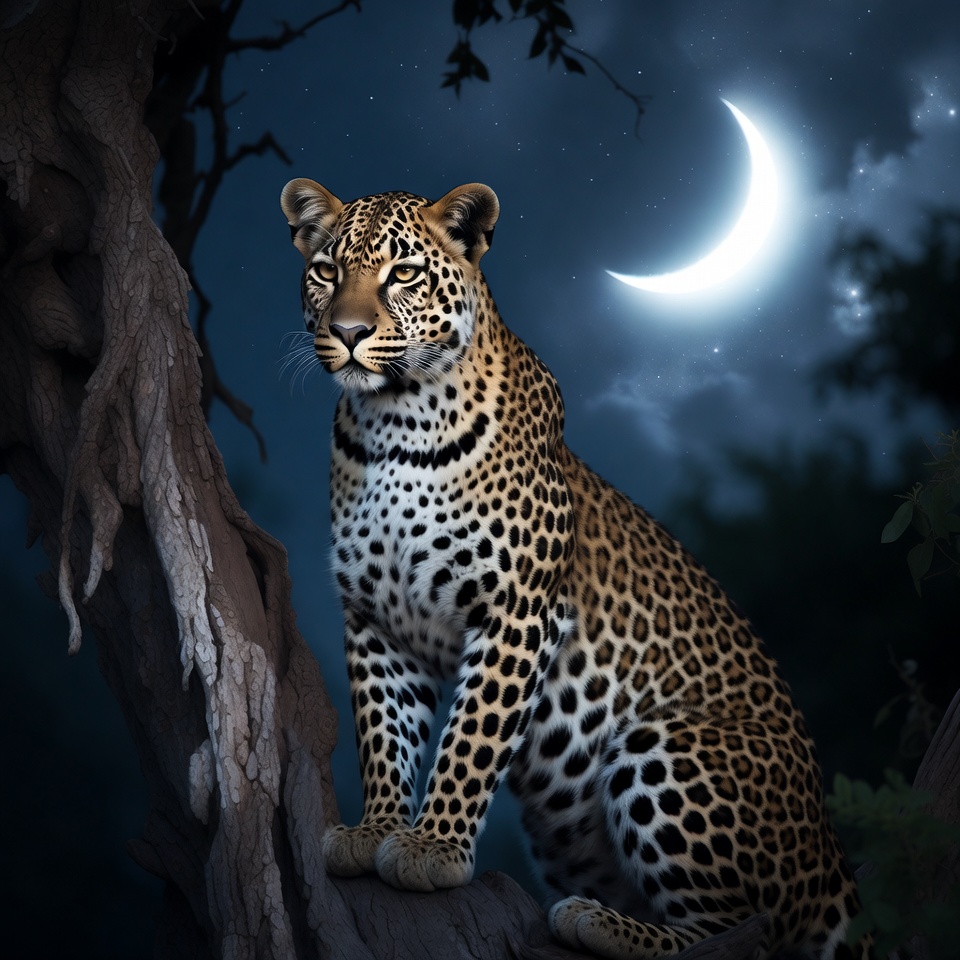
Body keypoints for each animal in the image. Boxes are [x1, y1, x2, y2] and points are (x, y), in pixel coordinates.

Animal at [280, 178, 866, 959]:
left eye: (402, 273)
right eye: (325, 271)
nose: (346, 332)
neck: (392, 429)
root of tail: (829, 852)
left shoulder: (516, 611)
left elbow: (470, 737)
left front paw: (431, 849)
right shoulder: (375, 618)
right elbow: (383, 731)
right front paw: (374, 829)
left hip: (662, 744)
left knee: (743, 929)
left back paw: (596, 921)